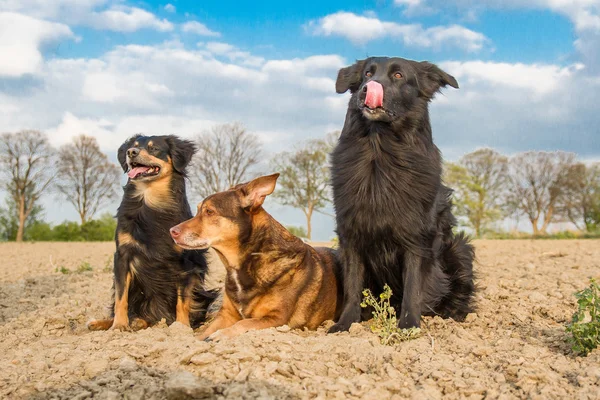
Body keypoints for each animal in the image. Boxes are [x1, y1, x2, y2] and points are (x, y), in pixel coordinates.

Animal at [89, 134, 216, 332]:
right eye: (133, 146)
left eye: (153, 148)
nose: (131, 152)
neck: (150, 197)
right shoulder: (122, 256)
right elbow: (121, 297)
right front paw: (118, 326)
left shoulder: (185, 262)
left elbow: (183, 300)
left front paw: (181, 328)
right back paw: (110, 322)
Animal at [169, 173, 342, 340]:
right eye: (198, 210)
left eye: (209, 211)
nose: (172, 231)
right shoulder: (226, 314)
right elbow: (204, 332)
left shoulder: (277, 319)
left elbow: (243, 323)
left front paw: (220, 335)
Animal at [328, 56, 474, 332]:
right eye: (367, 74)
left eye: (398, 75)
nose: (367, 89)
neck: (380, 151)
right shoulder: (350, 232)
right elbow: (352, 282)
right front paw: (346, 323)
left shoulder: (416, 238)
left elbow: (413, 284)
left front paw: (409, 325)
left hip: (459, 249)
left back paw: (453, 315)